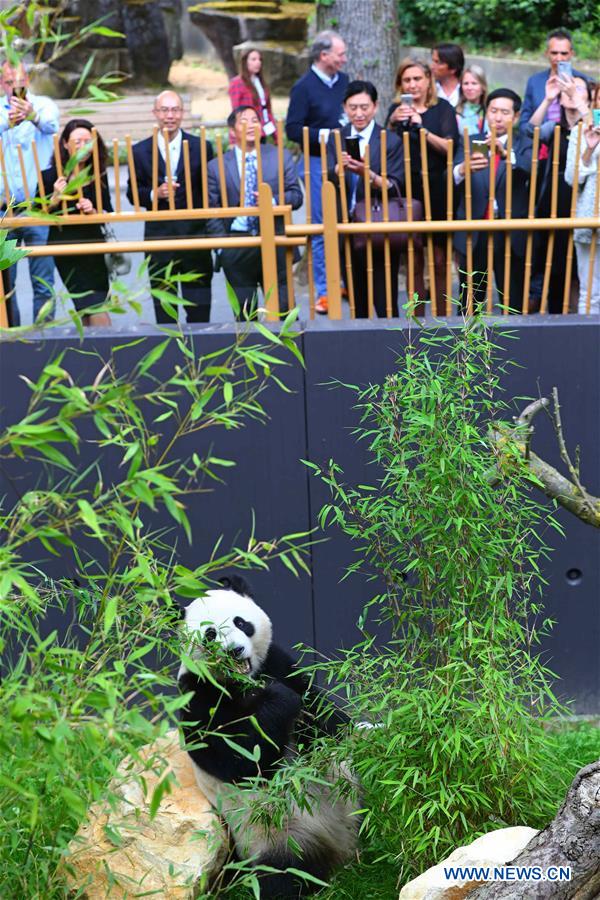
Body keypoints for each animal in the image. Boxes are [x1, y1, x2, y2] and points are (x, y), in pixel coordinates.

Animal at [177, 575, 360, 898]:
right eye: (210, 634)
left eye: (240, 622)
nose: (234, 650)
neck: (243, 681)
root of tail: (343, 849)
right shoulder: (197, 695)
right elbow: (241, 760)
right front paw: (278, 699)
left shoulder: (278, 662)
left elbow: (326, 717)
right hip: (280, 835)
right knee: (283, 876)